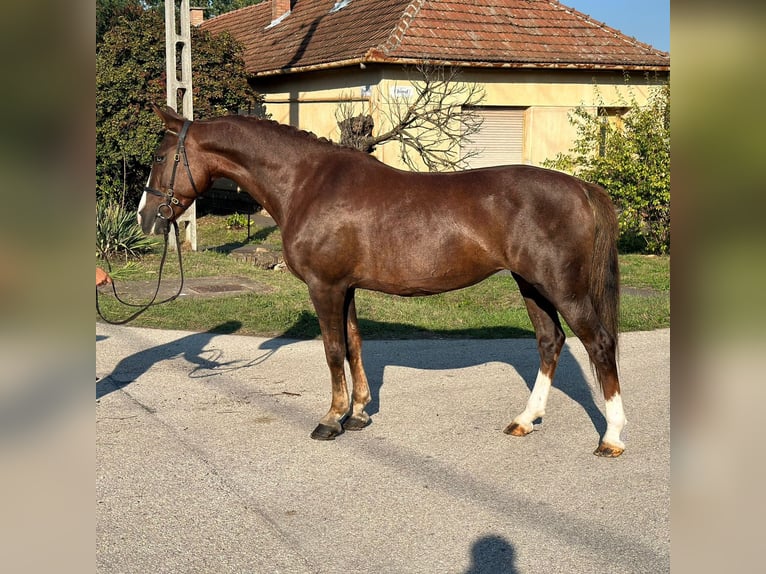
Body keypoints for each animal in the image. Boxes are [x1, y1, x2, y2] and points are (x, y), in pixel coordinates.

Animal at [140, 106, 632, 460]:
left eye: (160, 157)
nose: (147, 219)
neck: (306, 182)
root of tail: (582, 187)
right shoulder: (346, 287)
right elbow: (355, 344)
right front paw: (358, 413)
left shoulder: (325, 286)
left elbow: (333, 349)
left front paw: (331, 419)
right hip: (531, 285)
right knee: (550, 342)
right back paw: (525, 420)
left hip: (563, 289)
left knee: (600, 344)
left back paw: (611, 437)